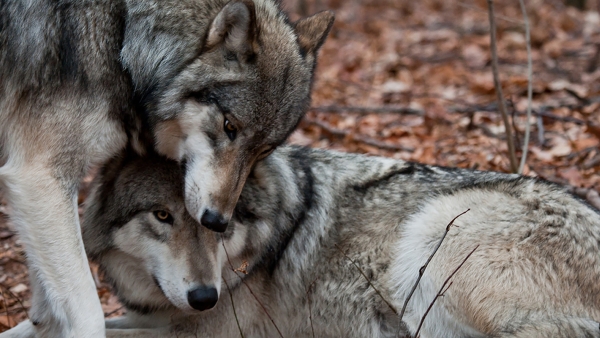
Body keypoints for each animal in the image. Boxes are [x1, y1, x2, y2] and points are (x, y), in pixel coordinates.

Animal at [0, 0, 332, 336]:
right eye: (229, 126)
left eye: (265, 150)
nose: (217, 221)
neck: (121, 38)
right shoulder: (40, 175)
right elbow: (89, 315)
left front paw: (41, 323)